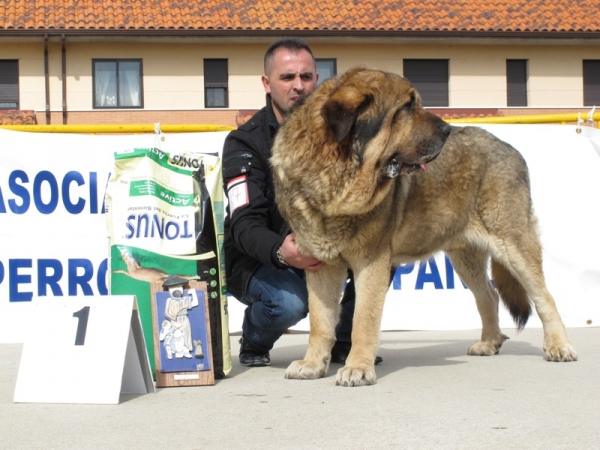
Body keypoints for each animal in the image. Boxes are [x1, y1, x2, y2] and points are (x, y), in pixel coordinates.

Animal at [270, 67, 576, 386]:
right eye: (405, 108)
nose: (447, 130)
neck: (335, 177)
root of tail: (509, 148)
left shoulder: (371, 263)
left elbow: (363, 320)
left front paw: (358, 367)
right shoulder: (322, 266)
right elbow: (320, 322)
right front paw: (313, 364)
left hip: (513, 244)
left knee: (544, 297)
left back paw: (559, 346)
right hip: (465, 257)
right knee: (488, 295)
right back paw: (489, 342)